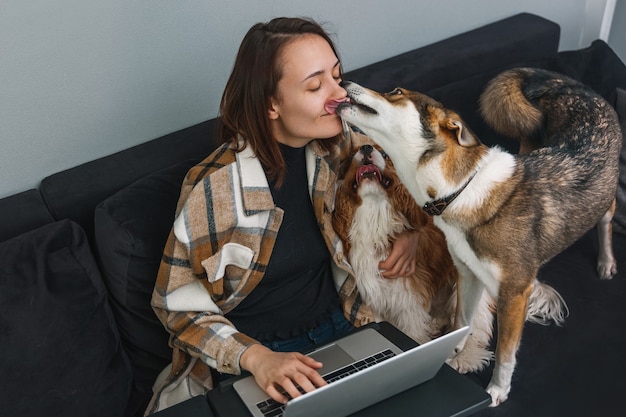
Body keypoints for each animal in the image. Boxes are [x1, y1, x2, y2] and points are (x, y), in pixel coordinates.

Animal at [332, 132, 492, 370]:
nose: (367, 147)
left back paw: (465, 357)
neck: (374, 214)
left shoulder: (407, 299)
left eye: (385, 154)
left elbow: (411, 332)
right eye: (352, 156)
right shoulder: (378, 298)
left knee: (476, 325)